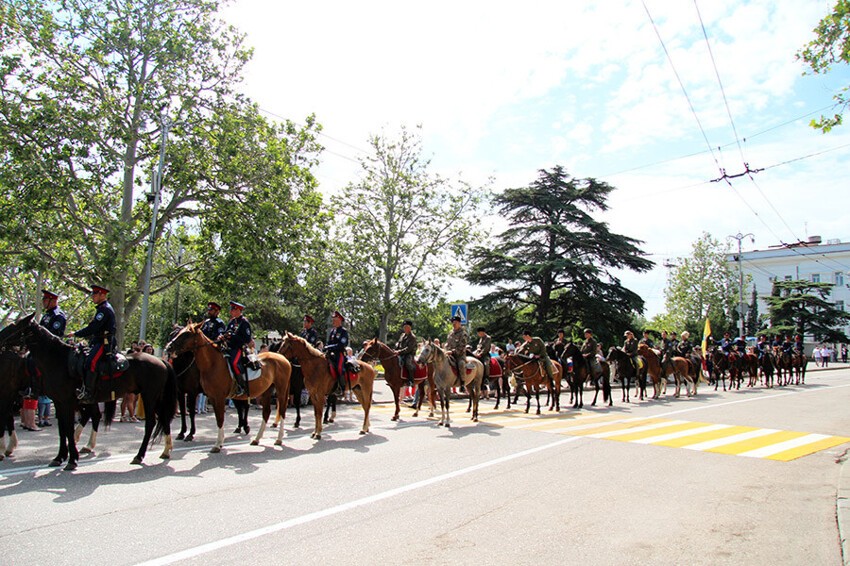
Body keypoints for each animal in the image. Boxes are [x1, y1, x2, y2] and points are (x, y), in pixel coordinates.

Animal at [0, 318, 176, 472]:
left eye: (14, 326)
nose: (1, 339)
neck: (57, 359)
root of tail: (161, 361)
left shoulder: (65, 401)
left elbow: (66, 429)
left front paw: (71, 460)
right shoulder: (58, 401)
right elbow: (62, 429)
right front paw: (59, 457)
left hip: (149, 397)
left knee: (150, 422)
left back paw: (139, 455)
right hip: (154, 398)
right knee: (162, 418)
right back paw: (165, 450)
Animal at [165, 324, 292, 452]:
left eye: (186, 334)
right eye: (176, 333)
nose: (168, 347)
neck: (212, 363)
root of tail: (283, 359)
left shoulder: (210, 395)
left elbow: (218, 418)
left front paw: (215, 444)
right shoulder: (202, 396)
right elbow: (215, 417)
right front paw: (184, 433)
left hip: (281, 390)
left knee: (281, 411)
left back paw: (278, 438)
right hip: (265, 391)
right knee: (265, 412)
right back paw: (256, 438)